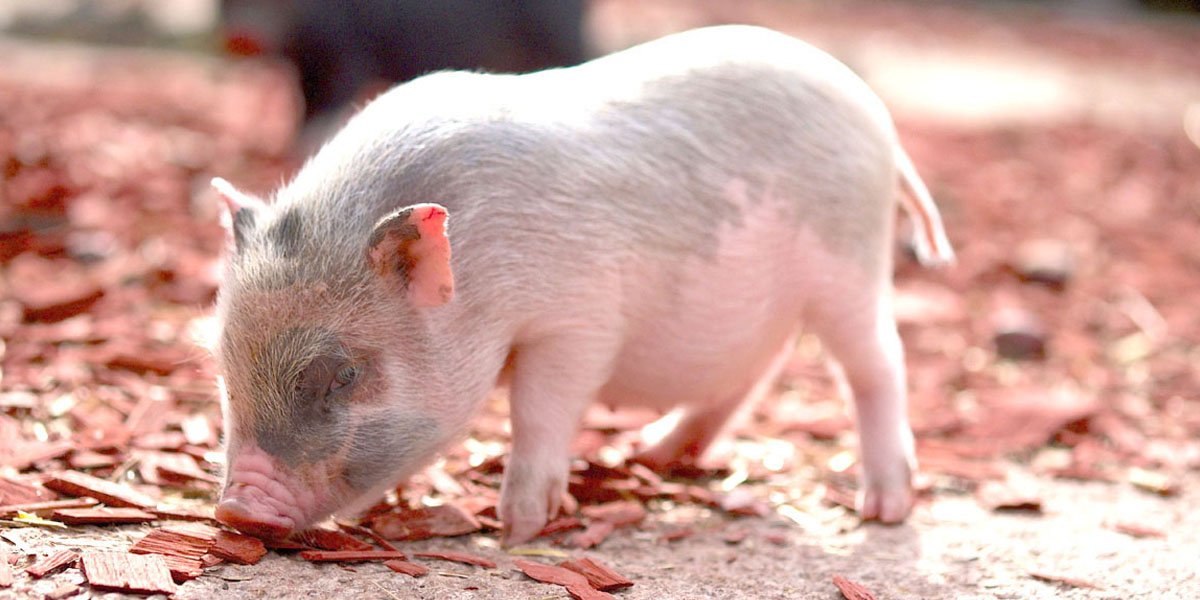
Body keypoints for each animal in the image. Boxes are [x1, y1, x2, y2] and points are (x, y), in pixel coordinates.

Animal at [210, 24, 955, 546]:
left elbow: (540, 410)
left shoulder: (577, 319)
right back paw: (650, 453)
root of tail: (880, 121)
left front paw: (517, 528)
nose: (237, 508)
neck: (482, 267)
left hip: (849, 265)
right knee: (754, 373)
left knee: (878, 364)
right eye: (224, 369)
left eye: (343, 376)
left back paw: (884, 508)